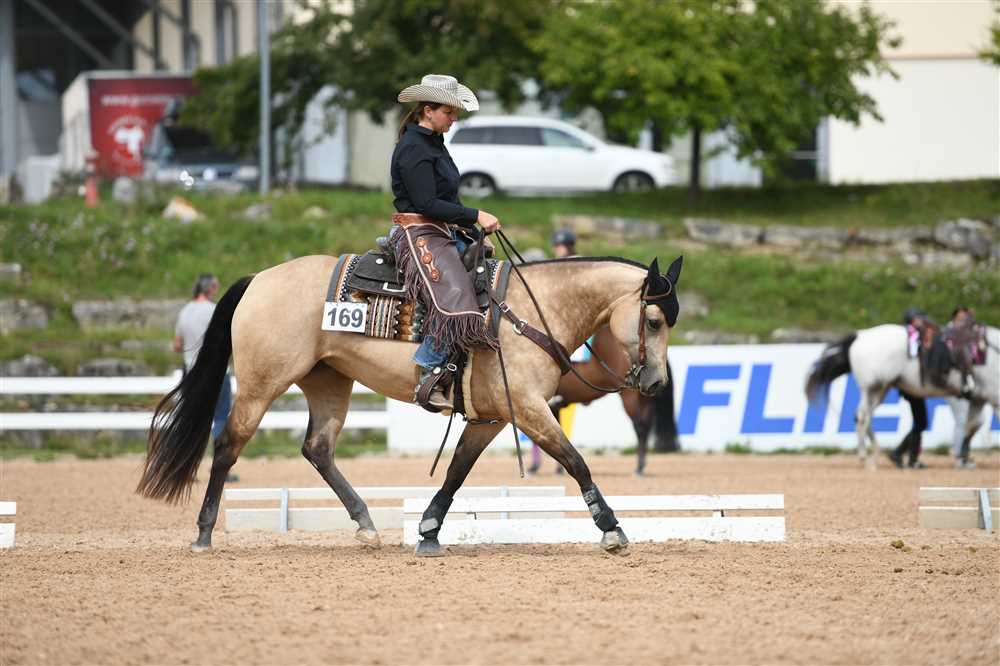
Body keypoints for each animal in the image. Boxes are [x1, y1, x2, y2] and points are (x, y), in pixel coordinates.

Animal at [805, 323, 999, 470]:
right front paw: (962, 459)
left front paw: (963, 459)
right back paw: (868, 459)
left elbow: (972, 426)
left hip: (881, 389)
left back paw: (878, 454)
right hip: (873, 387)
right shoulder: (993, 396)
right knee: (863, 417)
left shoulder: (979, 398)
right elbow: (974, 425)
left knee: (864, 417)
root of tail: (860, 335)